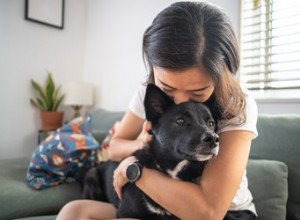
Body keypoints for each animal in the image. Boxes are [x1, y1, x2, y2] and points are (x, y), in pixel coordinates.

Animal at [81, 83, 219, 219]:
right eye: (180, 120)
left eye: (211, 123)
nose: (214, 139)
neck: (173, 169)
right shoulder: (126, 213)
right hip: (91, 175)